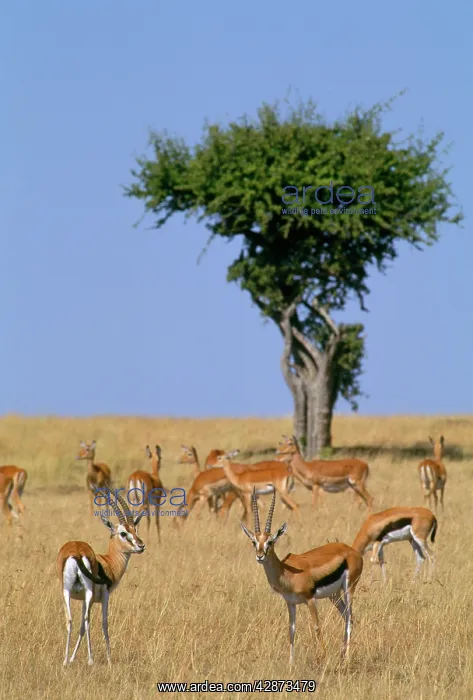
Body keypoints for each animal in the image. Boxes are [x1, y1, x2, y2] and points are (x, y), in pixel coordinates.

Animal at [56, 491, 145, 666]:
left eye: (135, 529)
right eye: (123, 533)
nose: (141, 545)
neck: (108, 562)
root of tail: (76, 551)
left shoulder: (83, 600)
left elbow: (80, 627)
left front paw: (72, 658)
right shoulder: (104, 596)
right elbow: (104, 623)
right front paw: (110, 660)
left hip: (66, 592)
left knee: (70, 620)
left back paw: (64, 661)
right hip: (88, 592)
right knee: (87, 620)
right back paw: (90, 660)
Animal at [241, 489, 363, 665]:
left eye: (270, 541)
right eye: (254, 542)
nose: (260, 556)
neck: (286, 572)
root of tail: (352, 551)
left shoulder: (310, 600)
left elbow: (317, 627)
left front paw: (324, 657)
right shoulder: (291, 603)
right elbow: (291, 630)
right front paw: (290, 664)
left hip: (349, 588)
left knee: (349, 616)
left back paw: (345, 657)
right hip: (334, 595)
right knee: (346, 616)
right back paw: (341, 654)